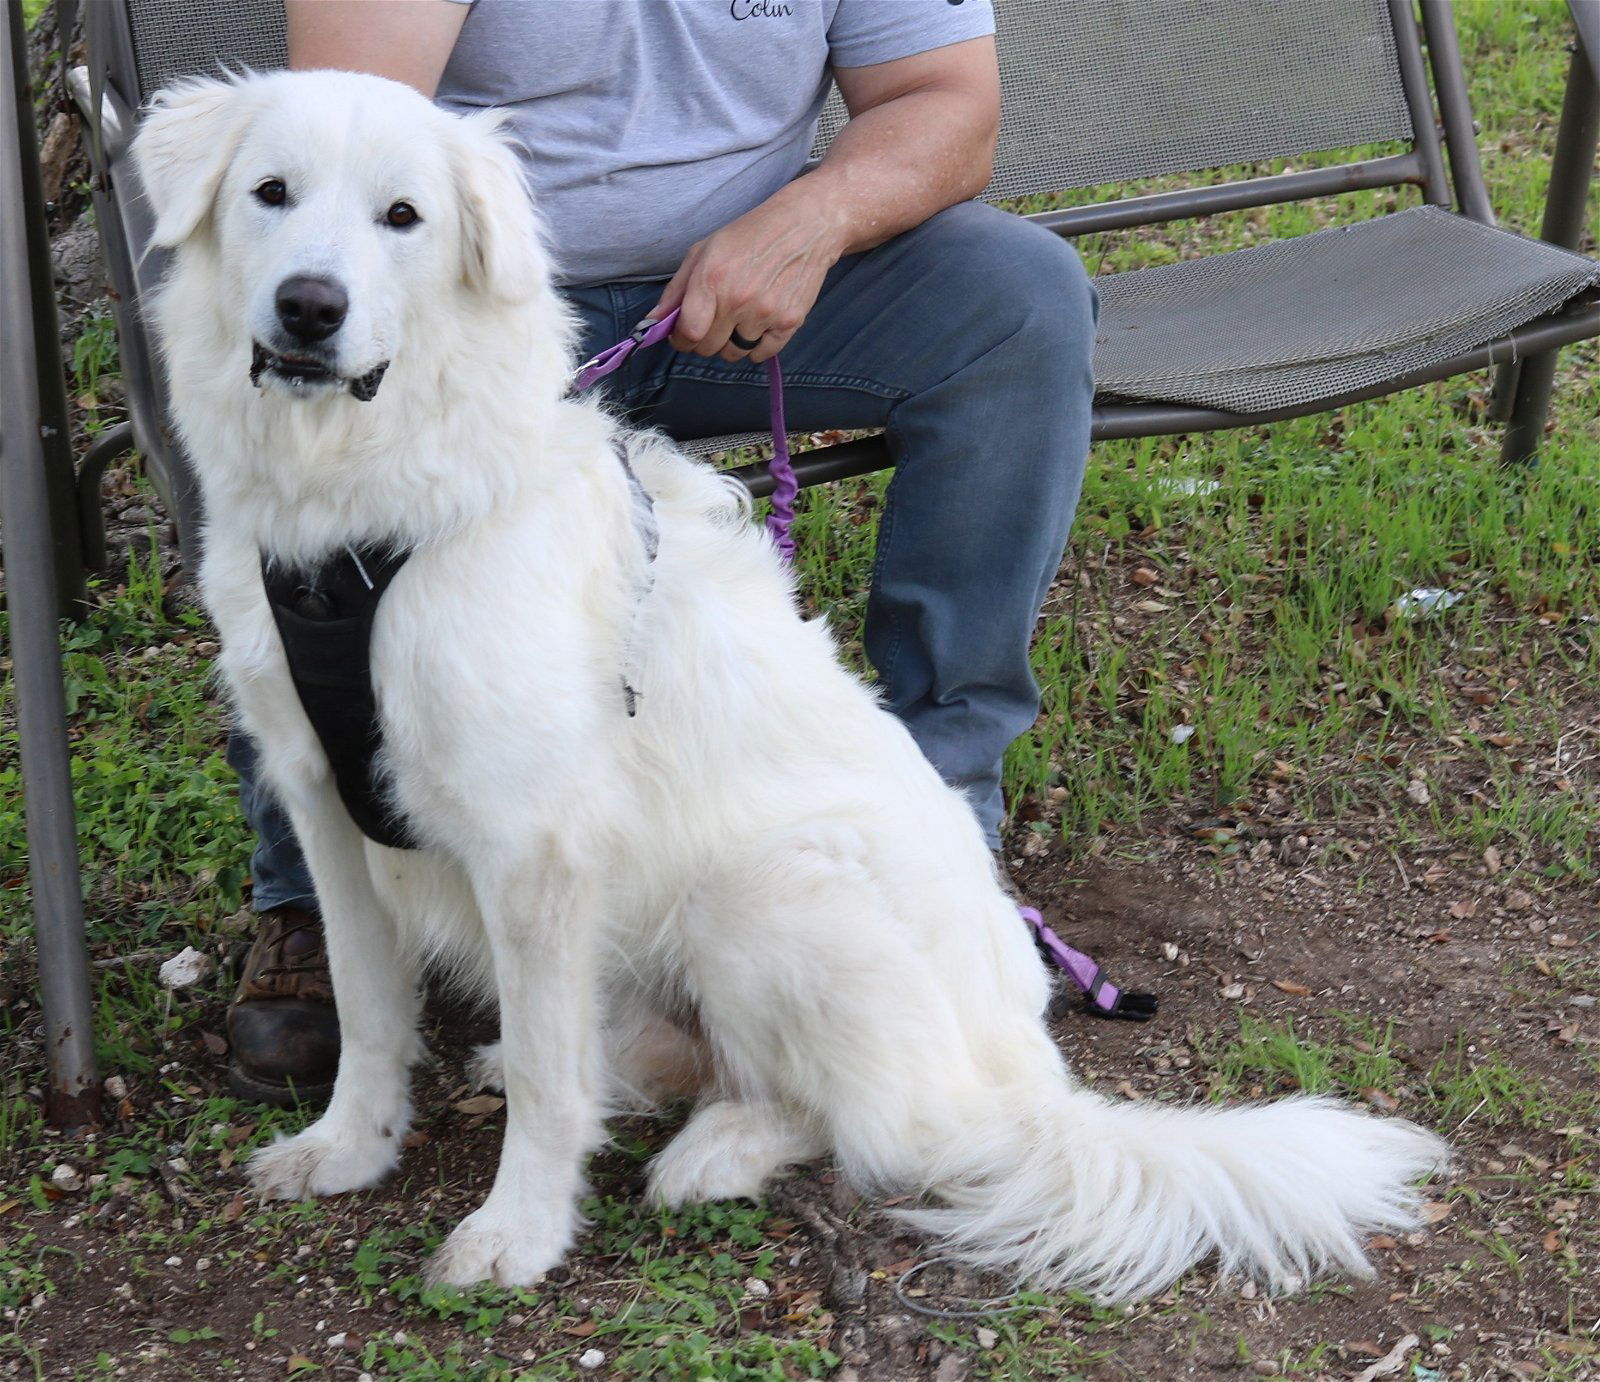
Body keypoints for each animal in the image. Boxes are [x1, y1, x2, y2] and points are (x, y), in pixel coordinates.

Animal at [134, 70, 1452, 1298]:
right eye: (271, 194)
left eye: (401, 216)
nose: (310, 307)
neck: (365, 518)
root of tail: (1028, 1073)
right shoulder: (328, 808)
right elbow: (369, 1012)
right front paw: (349, 1148)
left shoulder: (535, 847)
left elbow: (555, 1093)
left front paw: (519, 1230)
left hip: (764, 891)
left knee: (870, 1124)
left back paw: (712, 1151)